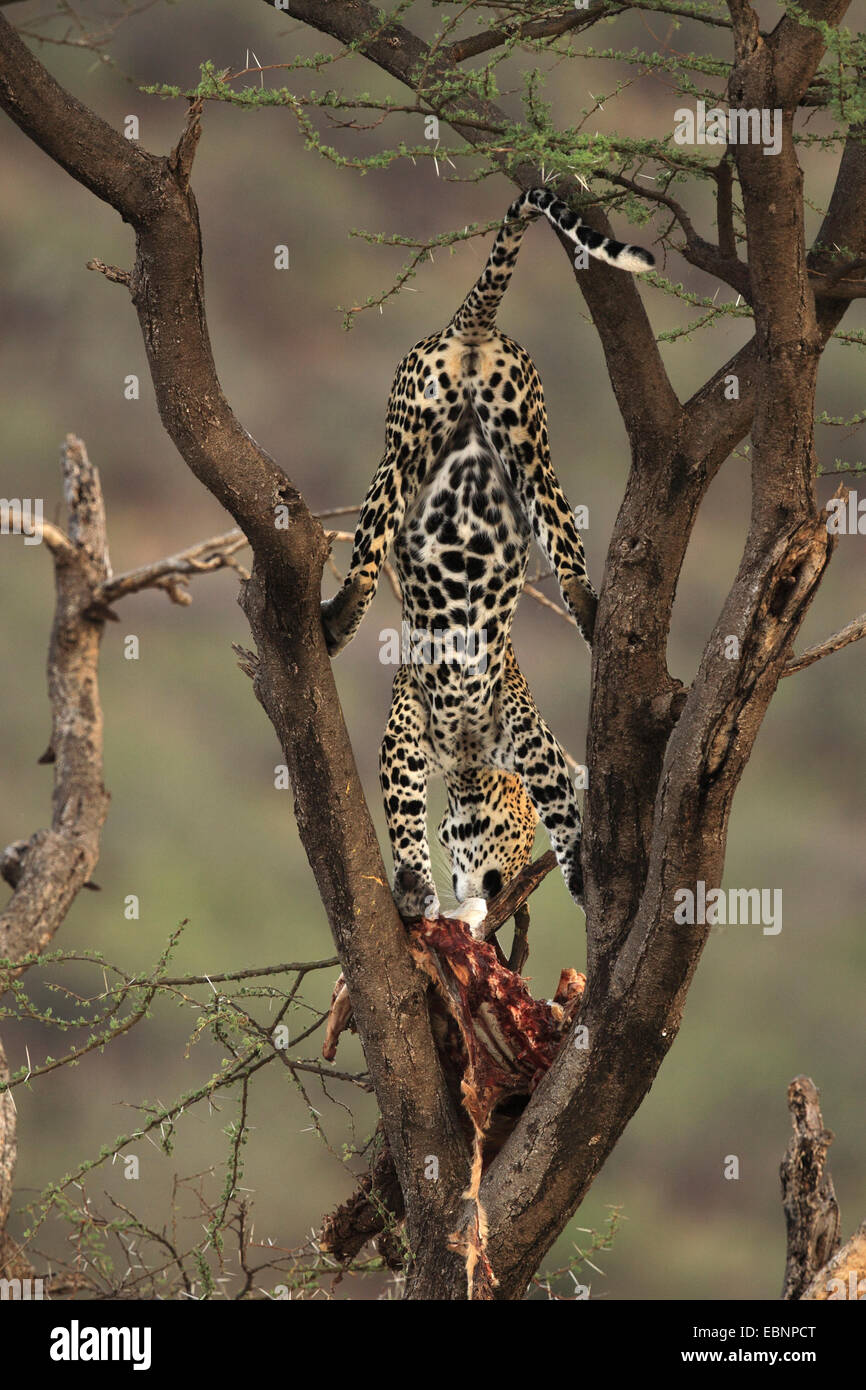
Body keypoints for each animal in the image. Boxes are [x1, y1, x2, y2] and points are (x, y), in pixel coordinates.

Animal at [322, 182, 653, 922]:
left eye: (506, 834)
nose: (493, 880)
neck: (471, 759)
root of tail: (469, 327)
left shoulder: (531, 746)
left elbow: (567, 815)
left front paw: (582, 880)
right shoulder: (406, 736)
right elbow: (405, 817)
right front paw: (416, 884)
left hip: (495, 439)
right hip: (458, 439)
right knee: (377, 550)